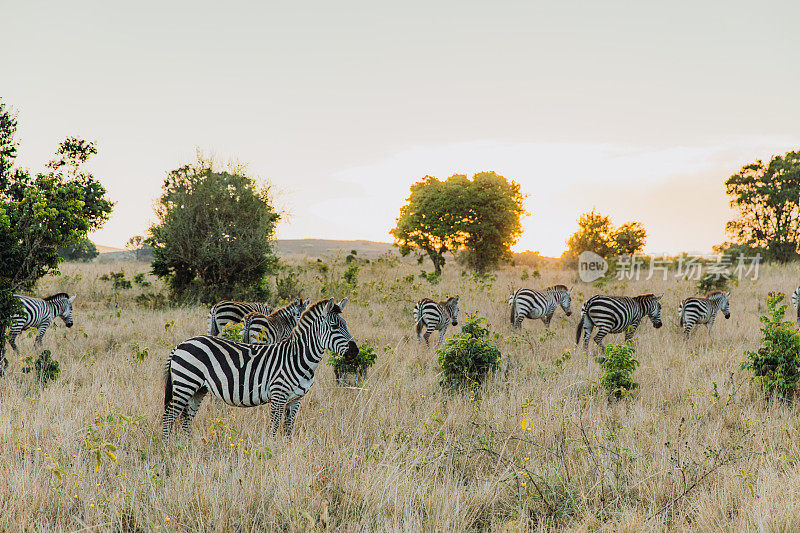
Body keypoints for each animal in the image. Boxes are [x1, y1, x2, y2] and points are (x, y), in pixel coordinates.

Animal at [162, 298, 356, 438]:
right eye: (334, 326)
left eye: (346, 325)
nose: (355, 351)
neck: (298, 358)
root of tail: (180, 345)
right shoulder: (279, 396)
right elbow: (274, 428)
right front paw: (273, 453)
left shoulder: (296, 399)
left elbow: (288, 429)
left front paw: (285, 451)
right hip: (185, 383)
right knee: (169, 416)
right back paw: (168, 448)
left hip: (198, 389)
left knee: (186, 418)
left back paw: (187, 446)